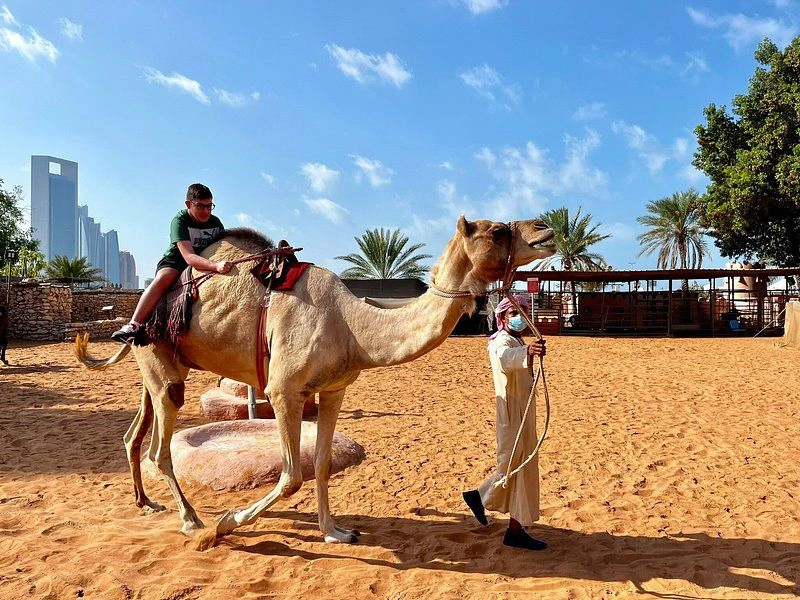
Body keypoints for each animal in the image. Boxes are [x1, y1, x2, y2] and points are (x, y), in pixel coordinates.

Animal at [75, 215, 555, 543]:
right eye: (498, 230)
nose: (545, 227)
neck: (352, 324)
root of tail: (137, 311)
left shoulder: (334, 389)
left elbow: (321, 463)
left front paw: (334, 532)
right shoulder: (284, 391)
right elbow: (291, 476)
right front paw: (227, 522)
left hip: (158, 361)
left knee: (136, 434)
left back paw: (147, 502)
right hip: (163, 362)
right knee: (160, 447)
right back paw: (193, 521)